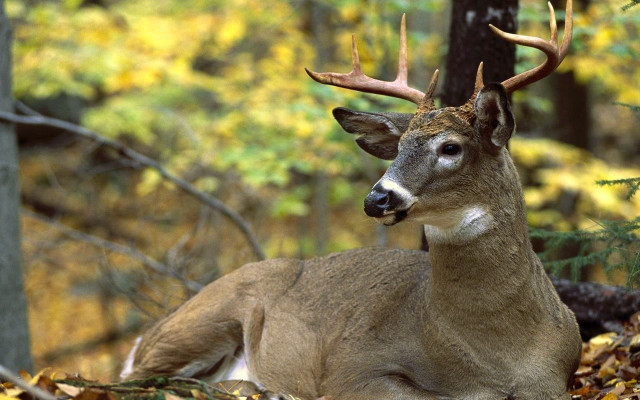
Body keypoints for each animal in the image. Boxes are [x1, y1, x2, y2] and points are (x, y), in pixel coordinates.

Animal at [120, 1, 581, 399]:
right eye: (399, 148)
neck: (499, 356)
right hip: (204, 318)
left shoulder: (557, 379)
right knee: (137, 379)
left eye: (450, 148)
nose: (377, 198)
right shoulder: (354, 366)